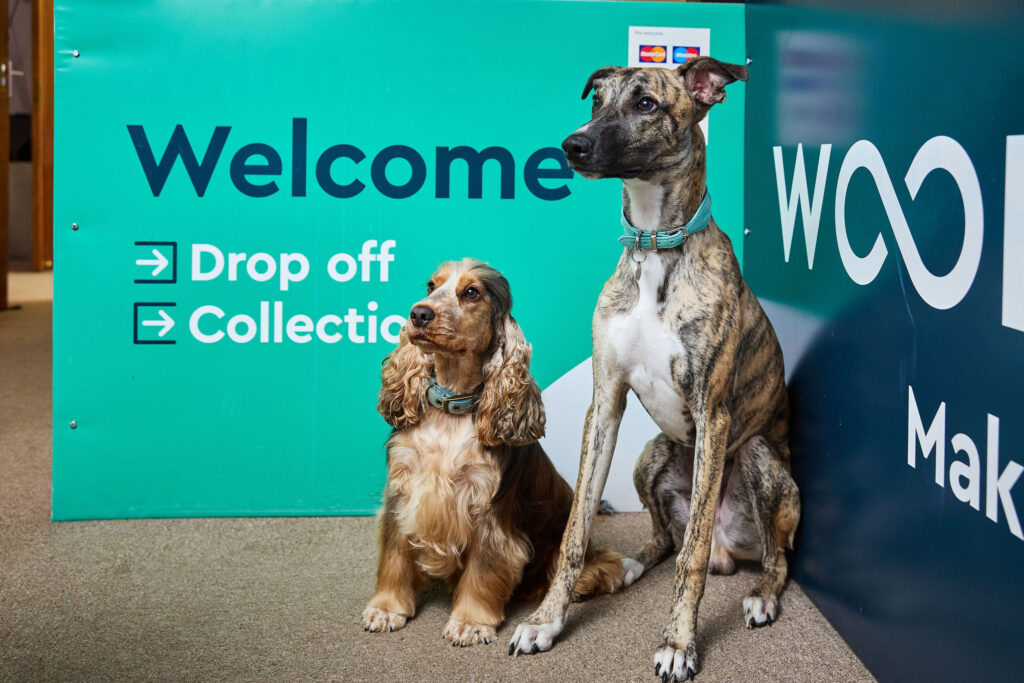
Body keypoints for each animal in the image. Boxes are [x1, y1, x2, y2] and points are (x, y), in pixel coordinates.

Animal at [507, 58, 802, 683]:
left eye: (646, 104)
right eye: (597, 101)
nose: (572, 145)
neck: (654, 244)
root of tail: (729, 551)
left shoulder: (714, 415)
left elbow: (690, 559)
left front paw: (678, 644)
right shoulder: (605, 402)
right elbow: (576, 530)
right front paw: (545, 621)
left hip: (759, 457)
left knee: (770, 557)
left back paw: (761, 595)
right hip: (651, 454)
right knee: (666, 538)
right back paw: (631, 565)